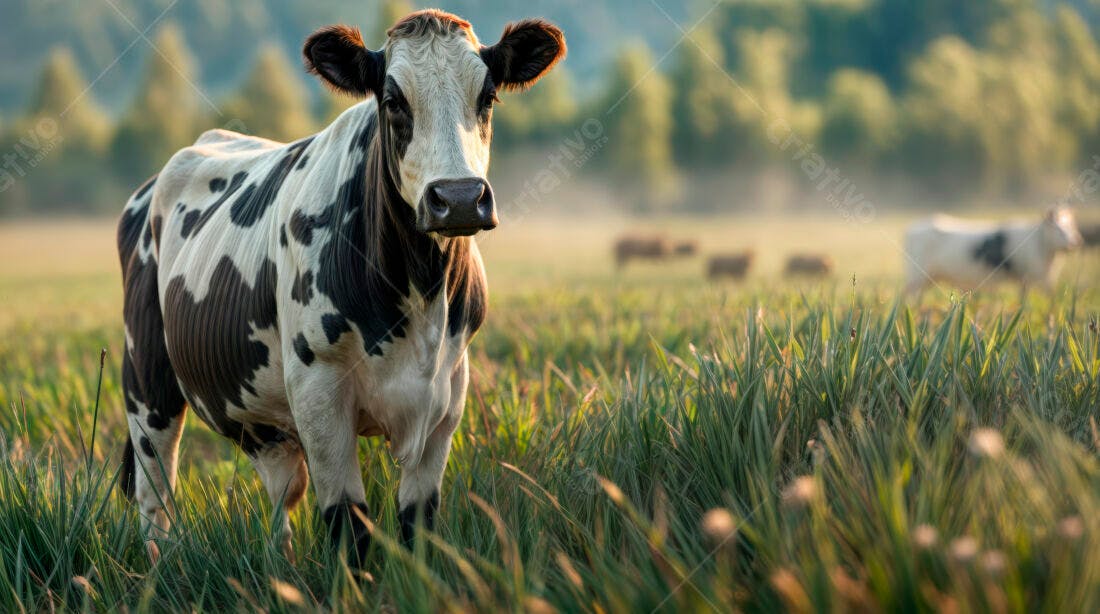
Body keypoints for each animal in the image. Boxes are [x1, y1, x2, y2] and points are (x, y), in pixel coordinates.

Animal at [116, 10, 565, 566]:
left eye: (487, 96)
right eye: (392, 101)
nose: (459, 198)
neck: (420, 292)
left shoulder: (446, 402)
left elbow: (419, 526)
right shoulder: (319, 397)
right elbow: (350, 527)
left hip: (265, 423)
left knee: (282, 490)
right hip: (146, 382)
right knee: (155, 496)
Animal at [903, 208, 1082, 294]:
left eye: (1071, 226)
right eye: (1058, 229)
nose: (1075, 242)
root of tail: (912, 230)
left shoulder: (1027, 279)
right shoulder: (1035, 277)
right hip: (915, 278)